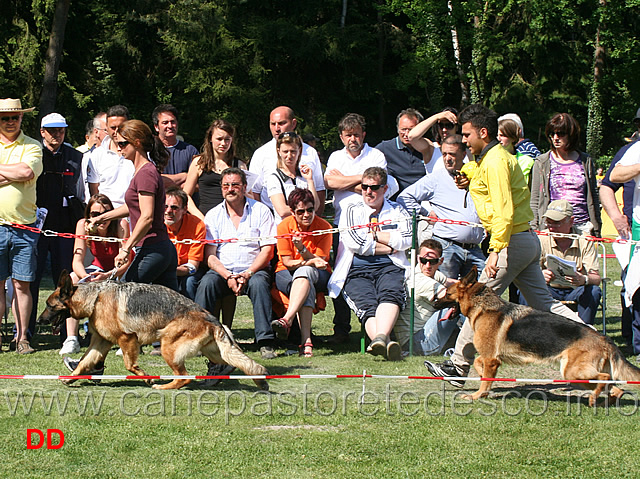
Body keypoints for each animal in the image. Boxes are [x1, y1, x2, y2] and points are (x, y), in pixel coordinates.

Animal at [38, 272, 268, 392]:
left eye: (49, 306)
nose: (39, 320)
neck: (94, 298)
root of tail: (212, 319)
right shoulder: (100, 343)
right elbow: (84, 362)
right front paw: (71, 377)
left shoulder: (127, 339)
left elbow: (130, 365)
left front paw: (147, 378)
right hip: (215, 353)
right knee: (235, 363)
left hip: (168, 347)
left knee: (184, 377)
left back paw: (164, 386)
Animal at [438, 266, 640, 404]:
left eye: (447, 293)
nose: (434, 300)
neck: (484, 307)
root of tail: (604, 339)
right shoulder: (491, 358)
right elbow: (479, 365)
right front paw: (481, 379)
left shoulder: (491, 359)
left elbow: (484, 378)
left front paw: (478, 395)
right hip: (577, 375)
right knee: (615, 388)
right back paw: (605, 402)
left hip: (572, 372)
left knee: (605, 379)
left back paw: (593, 399)